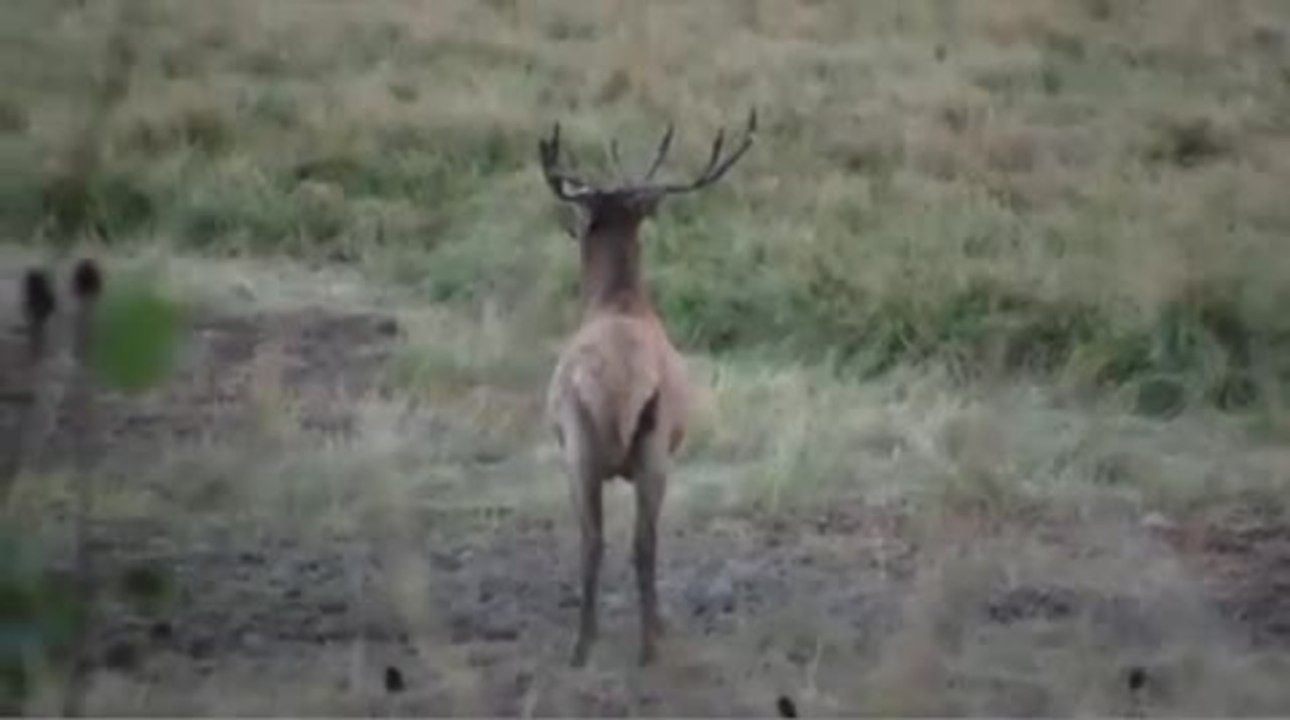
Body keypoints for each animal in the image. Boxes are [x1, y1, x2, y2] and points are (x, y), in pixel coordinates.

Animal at [537, 109, 757, 667]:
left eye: (585, 211)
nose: (570, 226)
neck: (618, 301)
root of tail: (616, 387)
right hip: (646, 450)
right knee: (632, 541)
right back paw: (634, 642)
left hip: (590, 444)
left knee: (603, 539)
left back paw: (601, 644)